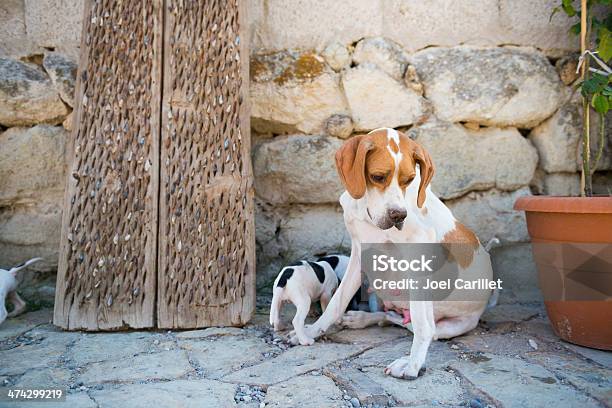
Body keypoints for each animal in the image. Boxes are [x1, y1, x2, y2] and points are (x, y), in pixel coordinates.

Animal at [290, 127, 494, 380]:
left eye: (410, 180)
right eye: (378, 177)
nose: (399, 216)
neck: (366, 210)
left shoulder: (419, 253)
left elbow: (423, 327)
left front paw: (413, 365)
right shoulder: (360, 254)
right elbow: (336, 303)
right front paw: (311, 331)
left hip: (449, 323)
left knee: (423, 327)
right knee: (391, 317)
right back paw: (362, 319)